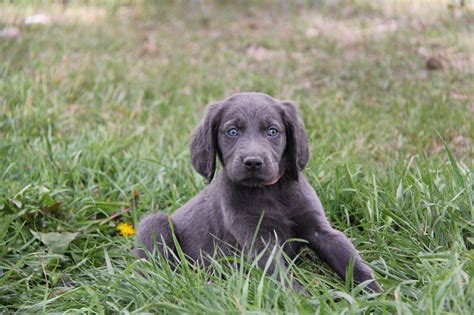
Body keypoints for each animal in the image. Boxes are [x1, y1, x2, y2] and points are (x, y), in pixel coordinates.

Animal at [135, 92, 380, 294]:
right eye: (232, 132)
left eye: (272, 131)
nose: (253, 162)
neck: (269, 191)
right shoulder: (258, 240)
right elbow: (280, 275)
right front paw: (302, 299)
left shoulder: (320, 229)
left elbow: (349, 259)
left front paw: (375, 293)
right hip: (154, 224)